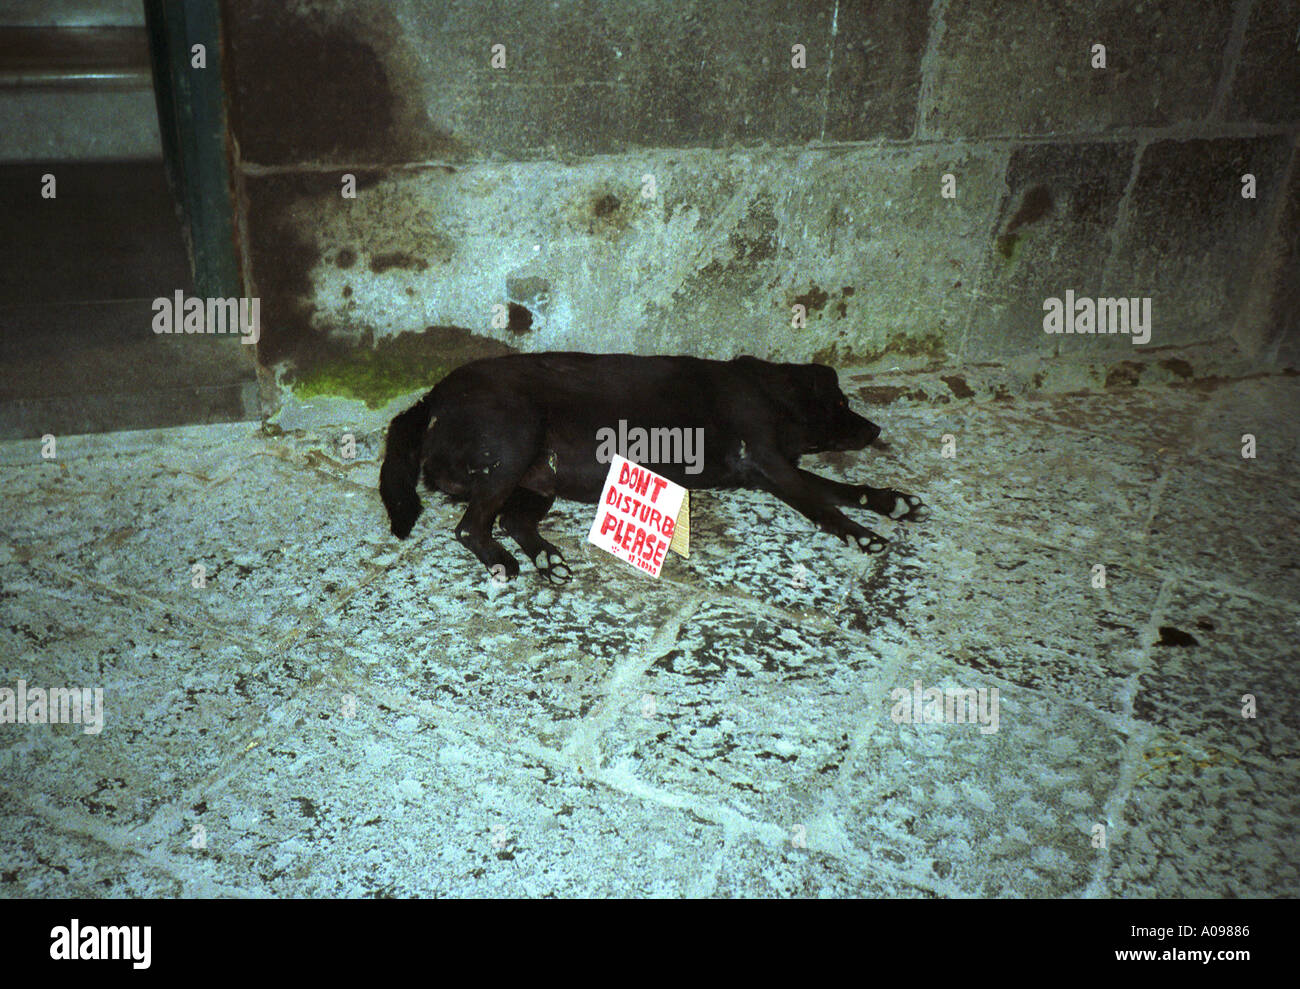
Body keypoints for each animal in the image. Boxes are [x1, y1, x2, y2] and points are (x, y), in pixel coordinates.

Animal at [379, 353, 930, 582]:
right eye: (840, 402)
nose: (875, 430)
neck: (769, 393)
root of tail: (431, 399)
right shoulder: (770, 464)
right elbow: (823, 503)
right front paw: (863, 535)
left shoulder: (771, 470)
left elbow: (838, 488)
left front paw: (890, 501)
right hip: (515, 441)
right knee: (470, 526)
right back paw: (501, 561)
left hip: (539, 479)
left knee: (511, 520)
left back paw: (547, 559)